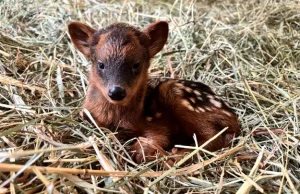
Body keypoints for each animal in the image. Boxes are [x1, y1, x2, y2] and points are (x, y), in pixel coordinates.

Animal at [69, 20, 240, 164]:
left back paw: (176, 155)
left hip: (174, 92)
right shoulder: (86, 114)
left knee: (215, 135)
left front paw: (141, 152)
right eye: (101, 64)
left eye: (136, 64)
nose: (116, 92)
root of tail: (233, 116)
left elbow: (159, 139)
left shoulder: (158, 125)